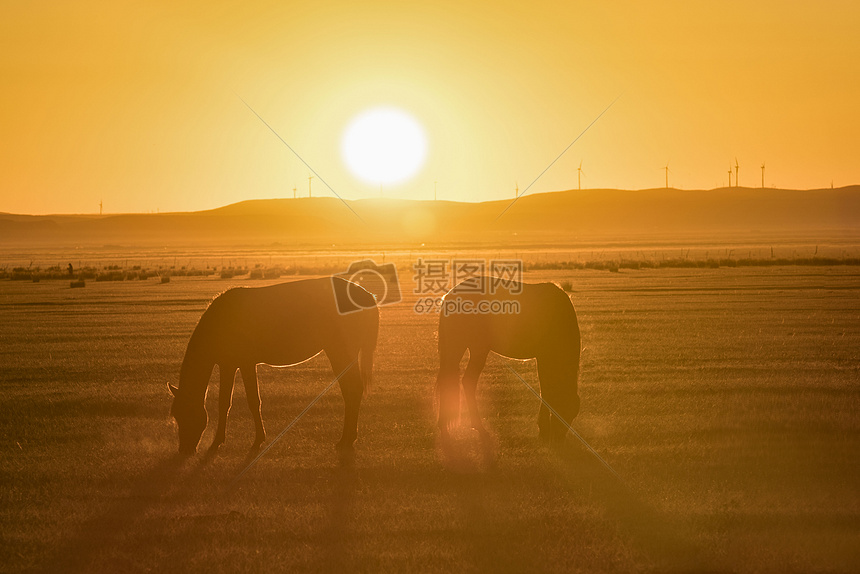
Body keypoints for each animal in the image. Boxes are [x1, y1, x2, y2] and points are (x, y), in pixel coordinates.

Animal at [170, 276, 378, 456]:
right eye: (176, 416)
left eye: (188, 413)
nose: (185, 450)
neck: (220, 322)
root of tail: (367, 295)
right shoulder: (234, 364)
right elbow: (237, 401)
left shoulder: (237, 364)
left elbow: (241, 402)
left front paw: (227, 441)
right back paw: (349, 437)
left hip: (340, 352)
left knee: (352, 389)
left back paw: (346, 439)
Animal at [436, 280, 584, 446]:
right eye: (561, 409)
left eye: (572, 415)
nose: (558, 439)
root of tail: (449, 296)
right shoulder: (544, 357)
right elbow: (546, 391)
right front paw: (544, 428)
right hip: (471, 348)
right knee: (463, 381)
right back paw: (474, 427)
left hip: (467, 348)